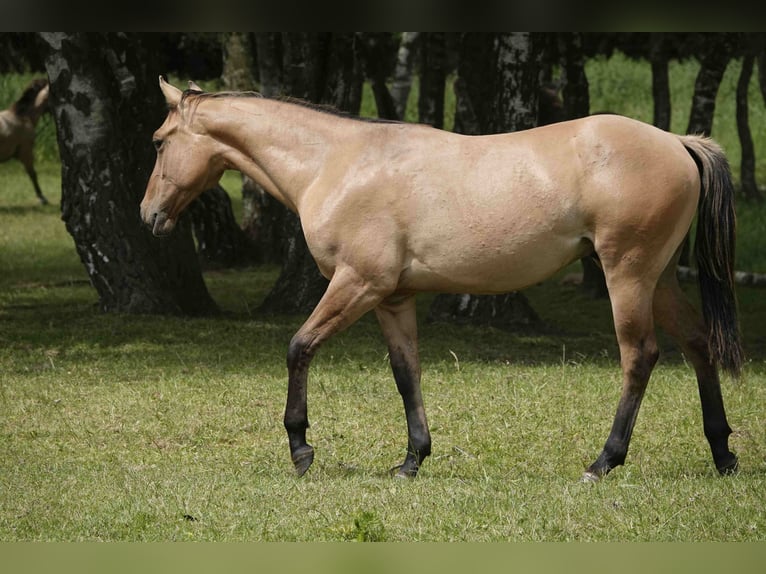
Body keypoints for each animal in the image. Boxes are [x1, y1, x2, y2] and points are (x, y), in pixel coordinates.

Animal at [141, 77, 743, 481]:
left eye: (157, 141)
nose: (149, 214)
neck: (337, 162)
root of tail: (677, 142)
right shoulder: (392, 298)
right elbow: (406, 374)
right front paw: (411, 461)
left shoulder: (356, 285)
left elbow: (299, 348)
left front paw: (301, 450)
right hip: (658, 280)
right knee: (698, 344)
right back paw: (723, 454)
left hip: (628, 276)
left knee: (640, 356)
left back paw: (603, 462)